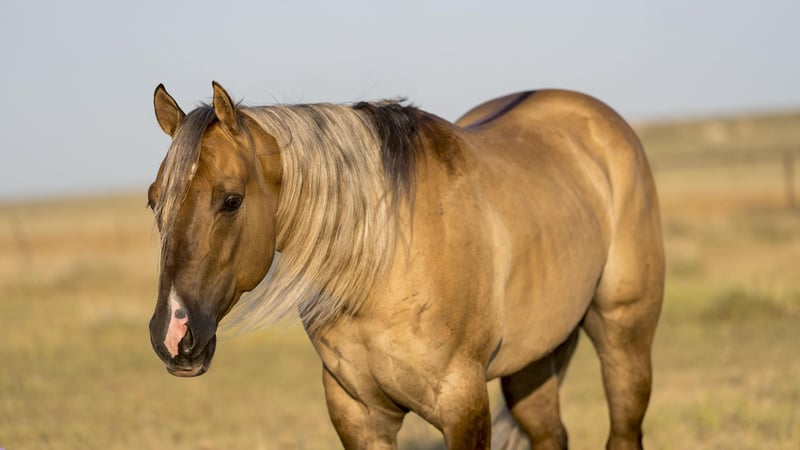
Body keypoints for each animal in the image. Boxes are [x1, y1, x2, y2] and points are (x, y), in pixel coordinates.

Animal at [147, 82, 664, 450]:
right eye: (154, 202)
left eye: (231, 200)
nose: (172, 335)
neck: (381, 262)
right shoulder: (358, 413)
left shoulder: (463, 406)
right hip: (533, 360)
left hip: (624, 338)